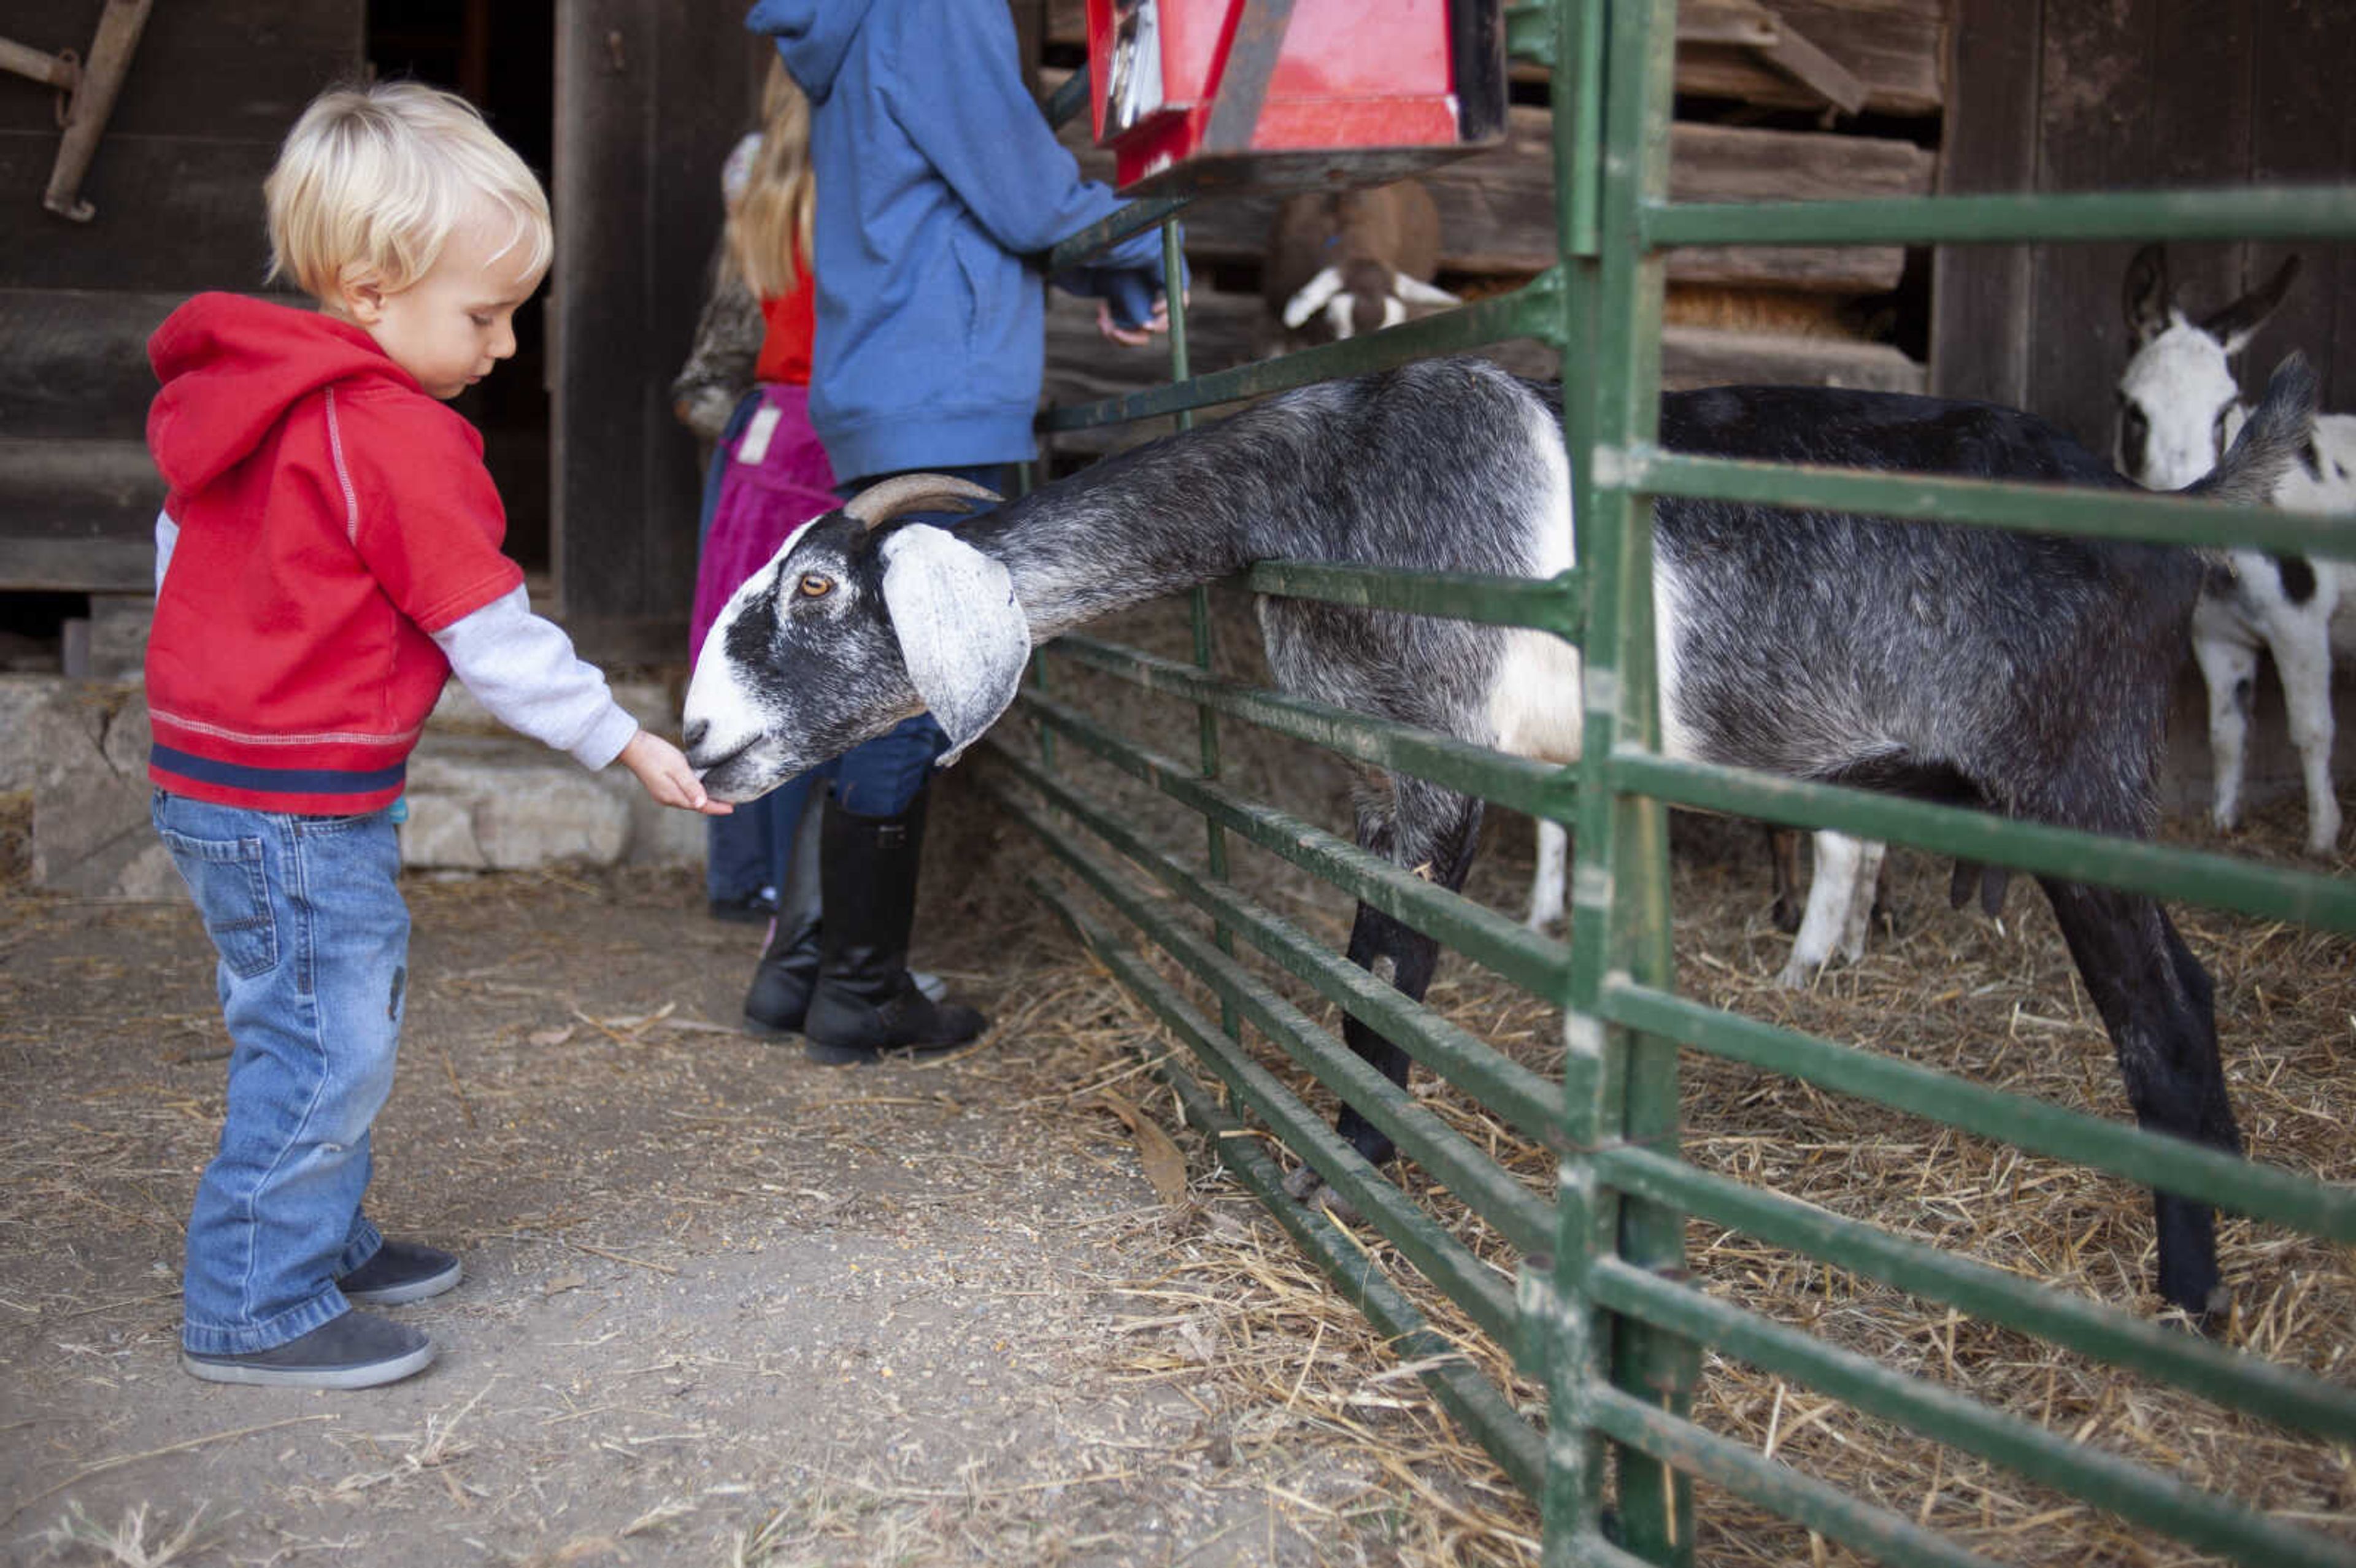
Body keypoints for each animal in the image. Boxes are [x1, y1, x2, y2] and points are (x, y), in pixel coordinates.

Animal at [688, 353, 2318, 1318]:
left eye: (818, 592)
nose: (700, 743)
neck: (1322, 474)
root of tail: (2156, 508)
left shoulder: (1442, 759)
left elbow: (1396, 979)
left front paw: (1352, 1168)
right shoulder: (1378, 768)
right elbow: (1363, 959)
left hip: (2076, 775)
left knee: (2168, 1010)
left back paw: (2190, 1298)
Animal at [2120, 241, 2356, 856]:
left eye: (2225, 411)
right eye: (2134, 411)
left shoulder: (2302, 621)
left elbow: (2312, 729)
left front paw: (2321, 839)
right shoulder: (2217, 634)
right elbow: (2227, 731)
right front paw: (2224, 821)